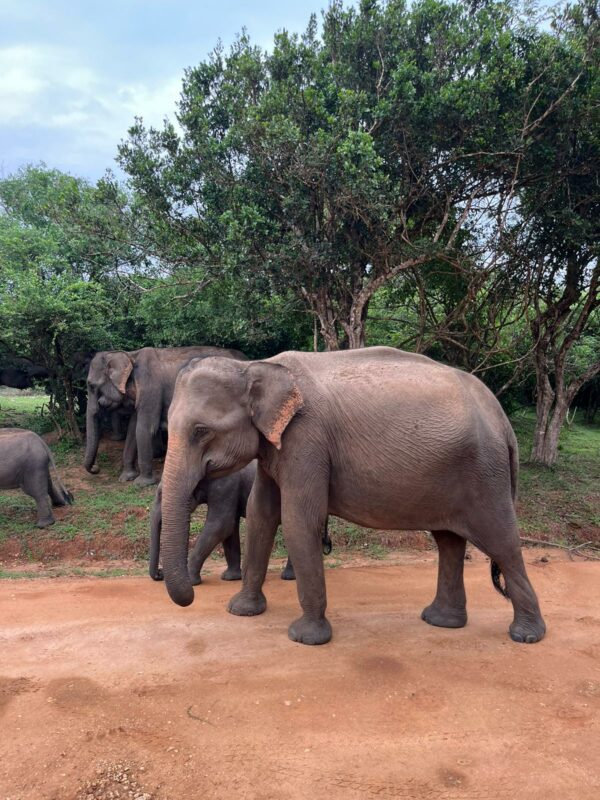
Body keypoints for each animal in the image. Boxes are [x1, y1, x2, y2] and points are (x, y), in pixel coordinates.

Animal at [83, 346, 245, 484]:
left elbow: (144, 429)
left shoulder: (151, 388)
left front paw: (141, 483)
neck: (130, 355)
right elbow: (133, 429)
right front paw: (127, 477)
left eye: (91, 385)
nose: (96, 468)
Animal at [157, 346, 548, 648]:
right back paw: (441, 621)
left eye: (201, 431)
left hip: (485, 475)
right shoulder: (275, 448)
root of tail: (502, 419)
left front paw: (305, 638)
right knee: (449, 541)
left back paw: (526, 636)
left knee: (502, 543)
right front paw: (241, 611)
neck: (258, 366)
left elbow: (300, 519)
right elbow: (261, 514)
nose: (185, 591)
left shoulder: (307, 439)